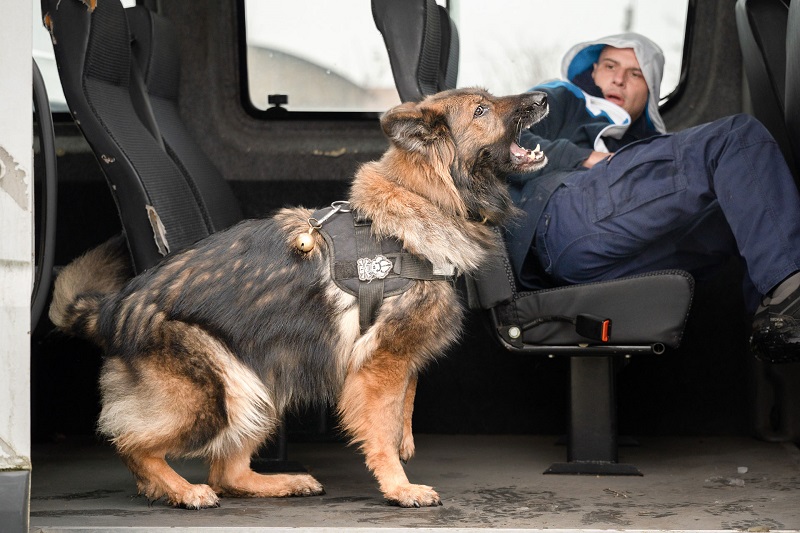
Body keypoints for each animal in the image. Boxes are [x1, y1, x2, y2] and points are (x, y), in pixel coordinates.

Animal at [50, 87, 548, 508]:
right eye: (481, 110)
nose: (542, 97)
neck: (423, 197)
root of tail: (114, 307)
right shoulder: (378, 364)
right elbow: (381, 427)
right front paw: (399, 486)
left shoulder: (396, 357)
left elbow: (405, 399)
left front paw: (405, 442)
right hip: (224, 388)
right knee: (133, 445)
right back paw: (182, 491)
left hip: (265, 385)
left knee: (227, 472)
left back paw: (282, 483)